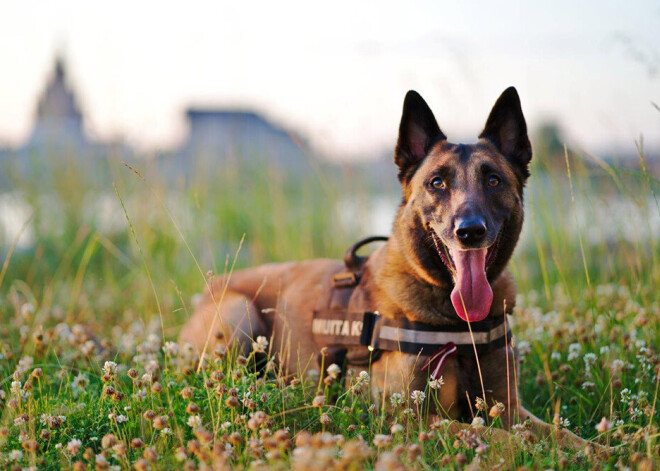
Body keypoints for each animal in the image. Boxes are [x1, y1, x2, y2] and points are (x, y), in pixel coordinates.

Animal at [182, 86, 600, 452]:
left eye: (494, 180)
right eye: (437, 182)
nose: (470, 232)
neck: (456, 324)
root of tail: (212, 286)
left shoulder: (508, 407)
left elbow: (561, 434)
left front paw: (601, 449)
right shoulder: (416, 419)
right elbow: (501, 437)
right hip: (239, 317)